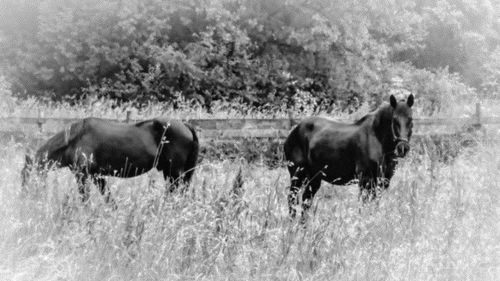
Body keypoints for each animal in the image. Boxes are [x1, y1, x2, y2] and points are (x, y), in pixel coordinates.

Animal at [20, 117, 199, 202]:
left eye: (26, 176)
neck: (75, 138)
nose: (25, 199)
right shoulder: (96, 176)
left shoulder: (83, 176)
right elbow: (109, 200)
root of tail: (185, 125)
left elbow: (85, 199)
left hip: (174, 174)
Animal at [284, 94, 416, 219]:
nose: (403, 148)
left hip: (314, 177)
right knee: (292, 199)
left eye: (410, 119)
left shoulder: (382, 182)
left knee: (306, 201)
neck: (376, 139)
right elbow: (364, 206)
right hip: (297, 175)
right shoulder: (365, 180)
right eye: (394, 120)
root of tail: (294, 131)